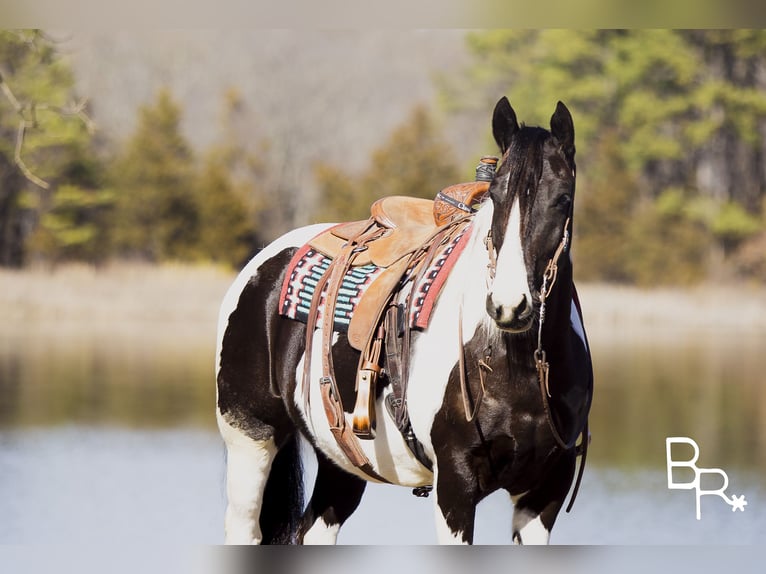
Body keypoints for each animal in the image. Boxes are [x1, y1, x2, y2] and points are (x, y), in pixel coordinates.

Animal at [216, 97, 592, 548]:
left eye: (563, 198)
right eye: (497, 197)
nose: (509, 305)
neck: (513, 364)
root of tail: (263, 261)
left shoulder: (546, 490)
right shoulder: (456, 482)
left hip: (340, 463)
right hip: (250, 437)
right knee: (244, 527)